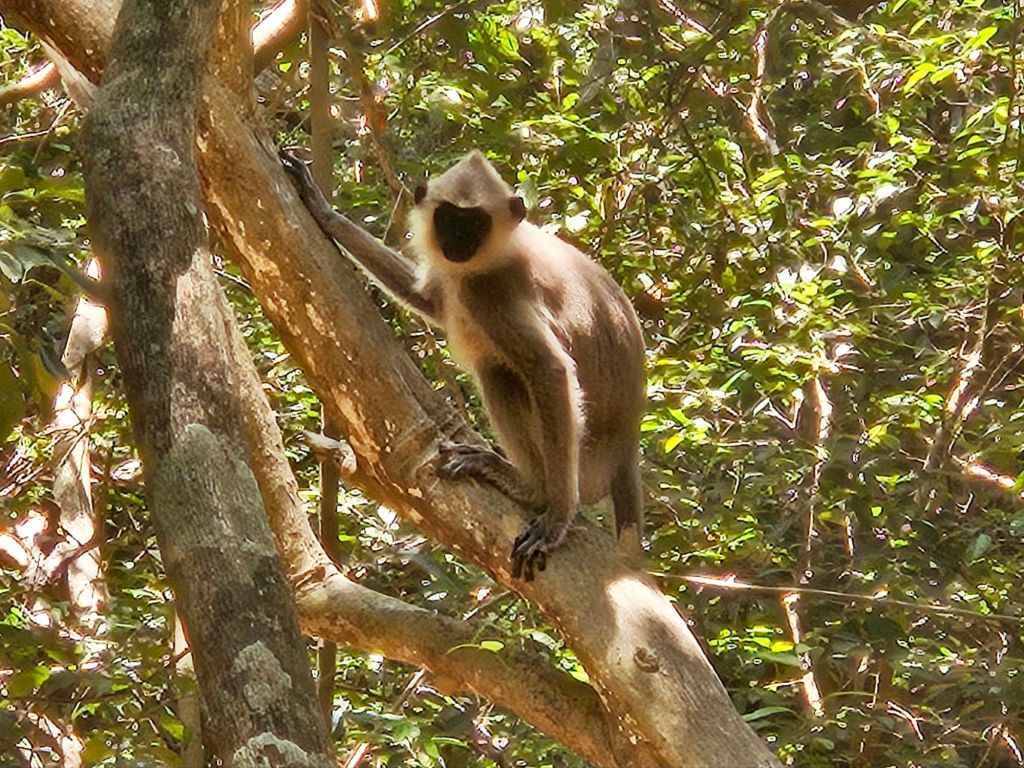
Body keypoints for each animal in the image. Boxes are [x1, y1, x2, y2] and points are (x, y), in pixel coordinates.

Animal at [280, 149, 646, 581]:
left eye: (474, 223)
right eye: (449, 218)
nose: (457, 240)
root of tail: (626, 447)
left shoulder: (487, 291)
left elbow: (550, 370)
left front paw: (556, 518)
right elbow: (427, 299)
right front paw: (324, 211)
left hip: (586, 463)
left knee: (499, 371)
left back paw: (532, 488)